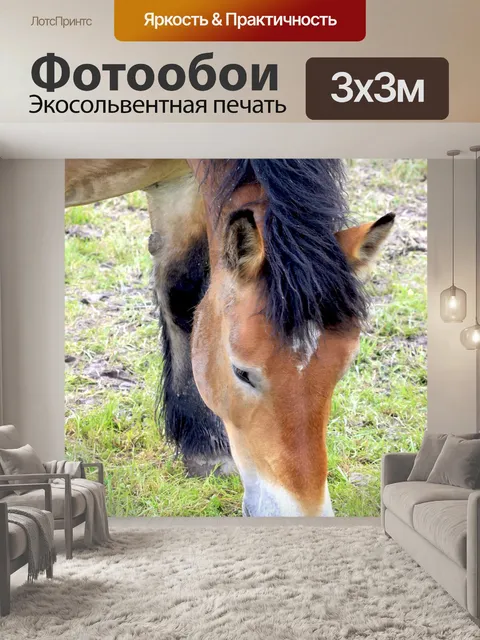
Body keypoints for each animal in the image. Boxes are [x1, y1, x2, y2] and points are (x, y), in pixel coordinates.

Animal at [65, 159, 394, 516]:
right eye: (241, 372)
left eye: (341, 371)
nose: (303, 513)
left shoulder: (179, 183)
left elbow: (183, 290)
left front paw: (202, 446)